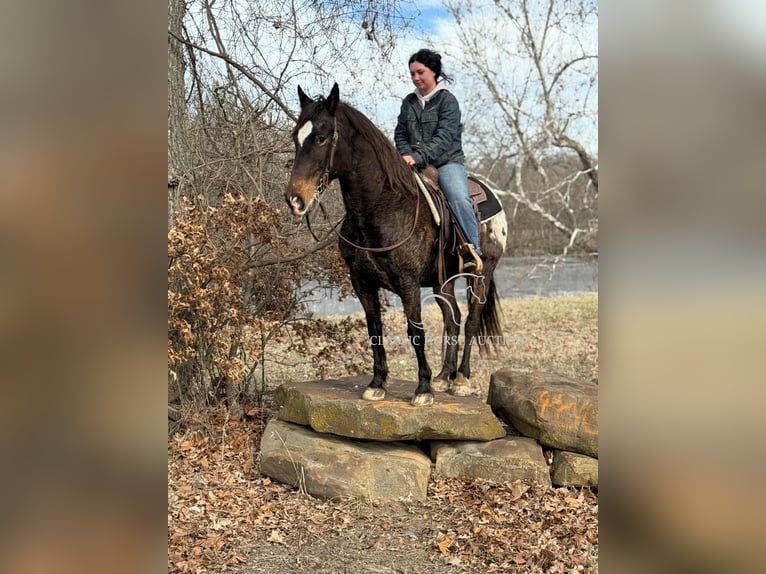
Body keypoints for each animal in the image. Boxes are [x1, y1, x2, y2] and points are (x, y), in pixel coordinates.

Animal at [284, 83, 508, 408]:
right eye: (295, 136)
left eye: (321, 137)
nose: (295, 199)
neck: (383, 207)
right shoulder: (362, 281)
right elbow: (374, 329)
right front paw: (377, 383)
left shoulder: (408, 283)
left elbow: (416, 332)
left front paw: (423, 389)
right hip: (443, 282)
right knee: (451, 319)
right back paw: (445, 376)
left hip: (480, 275)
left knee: (471, 322)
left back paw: (462, 380)